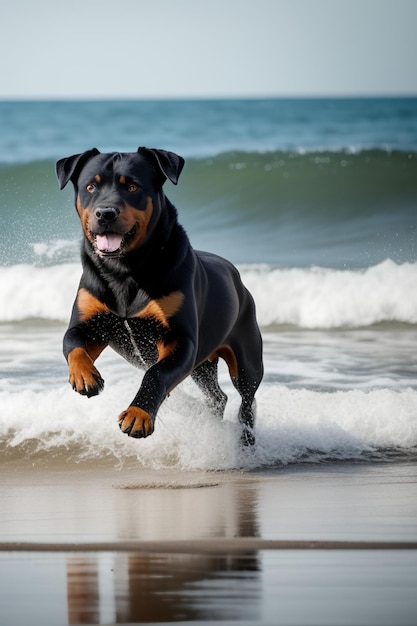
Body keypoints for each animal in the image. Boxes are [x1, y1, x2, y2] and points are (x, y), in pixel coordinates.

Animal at [55, 146, 264, 444]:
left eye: (132, 186)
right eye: (90, 186)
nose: (105, 212)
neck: (125, 271)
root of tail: (238, 278)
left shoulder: (179, 338)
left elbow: (157, 373)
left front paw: (138, 415)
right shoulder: (93, 324)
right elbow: (71, 341)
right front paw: (86, 376)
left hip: (246, 352)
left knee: (246, 396)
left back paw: (246, 439)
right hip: (203, 365)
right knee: (218, 395)